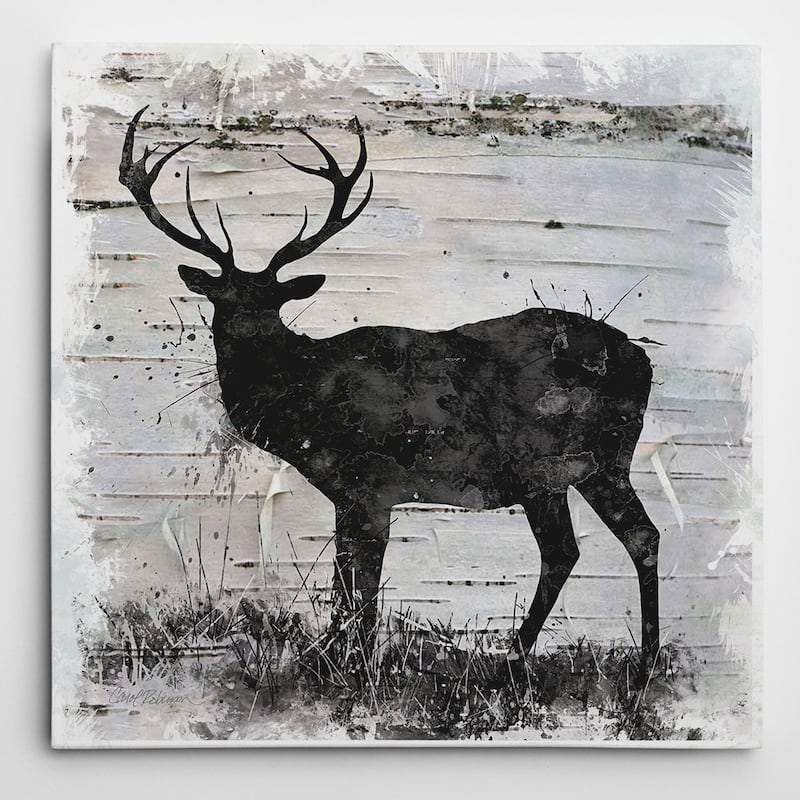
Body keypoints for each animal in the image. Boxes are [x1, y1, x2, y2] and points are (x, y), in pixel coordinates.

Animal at [119, 106, 661, 678]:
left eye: (272, 303)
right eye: (221, 300)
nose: (245, 341)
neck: (310, 404)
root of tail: (643, 359)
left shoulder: (371, 485)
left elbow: (361, 591)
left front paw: (351, 665)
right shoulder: (349, 493)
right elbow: (346, 581)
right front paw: (335, 657)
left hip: (579, 461)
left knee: (612, 542)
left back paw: (601, 659)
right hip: (565, 475)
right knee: (589, 546)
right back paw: (555, 657)